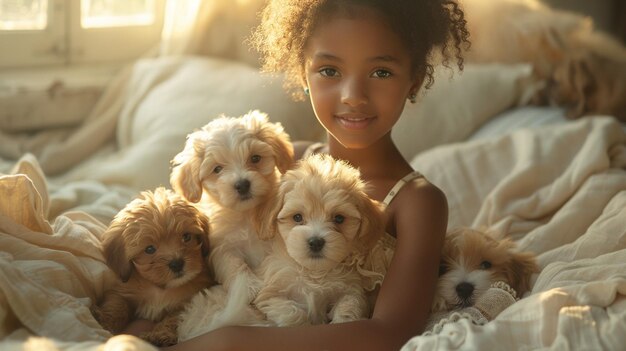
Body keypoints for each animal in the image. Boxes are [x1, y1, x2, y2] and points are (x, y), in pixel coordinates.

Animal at [90, 188, 212, 348]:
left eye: (186, 236)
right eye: (149, 249)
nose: (177, 263)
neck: (160, 289)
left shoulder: (187, 302)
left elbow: (173, 318)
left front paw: (160, 335)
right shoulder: (121, 290)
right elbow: (117, 305)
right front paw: (105, 320)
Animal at [168, 110, 294, 296]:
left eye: (255, 158)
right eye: (217, 169)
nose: (242, 185)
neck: (245, 215)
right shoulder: (222, 247)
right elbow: (234, 265)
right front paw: (247, 287)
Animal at [251, 155, 382, 328]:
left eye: (339, 218)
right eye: (297, 217)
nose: (316, 242)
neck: (313, 273)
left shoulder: (352, 289)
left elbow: (349, 305)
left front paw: (342, 321)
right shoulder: (269, 294)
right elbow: (291, 313)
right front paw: (303, 325)